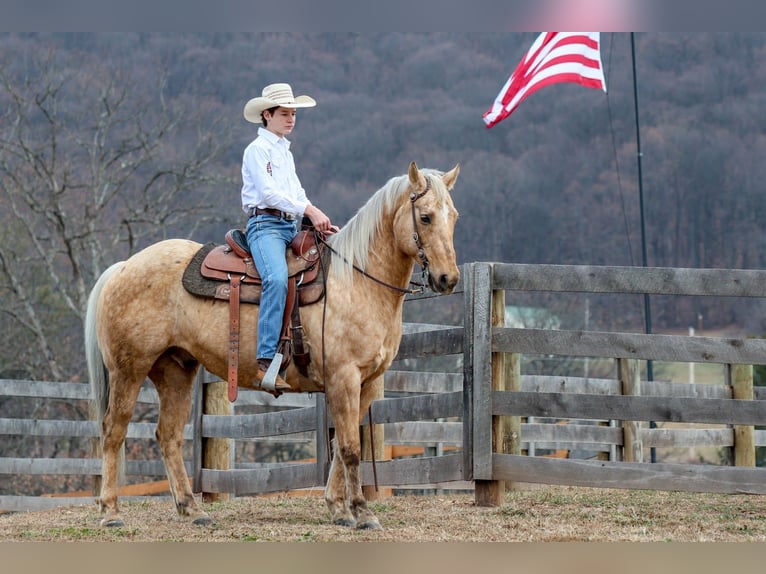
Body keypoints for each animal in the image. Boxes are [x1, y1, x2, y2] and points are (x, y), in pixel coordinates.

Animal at [85, 161, 460, 530]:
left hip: (175, 370)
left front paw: (338, 508)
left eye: (453, 216)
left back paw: (192, 510)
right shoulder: (344, 378)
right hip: (129, 370)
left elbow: (341, 445)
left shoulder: (367, 382)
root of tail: (122, 267)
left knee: (168, 435)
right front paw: (362, 513)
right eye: (425, 216)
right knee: (113, 431)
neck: (355, 280)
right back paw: (111, 512)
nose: (448, 279)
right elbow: (351, 448)